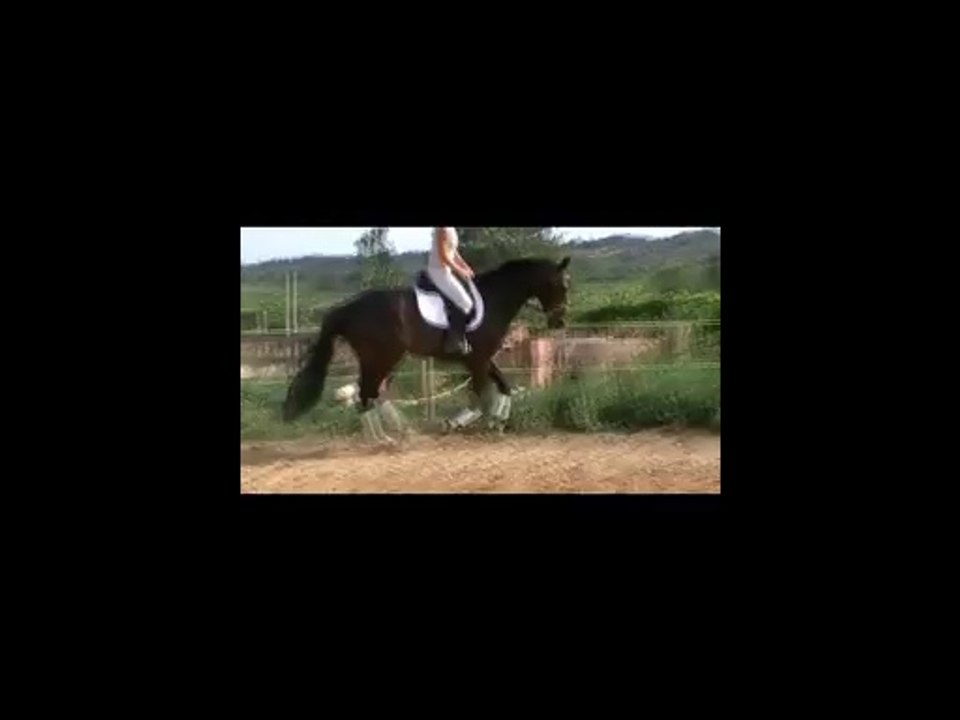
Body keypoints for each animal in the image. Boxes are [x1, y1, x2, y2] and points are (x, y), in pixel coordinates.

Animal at [281, 256, 572, 441]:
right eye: (560, 284)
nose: (559, 321)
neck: (492, 300)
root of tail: (347, 308)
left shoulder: (482, 358)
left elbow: (503, 386)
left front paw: (498, 421)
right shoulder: (477, 359)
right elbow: (480, 395)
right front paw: (469, 423)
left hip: (385, 359)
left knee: (374, 393)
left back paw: (399, 432)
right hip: (381, 357)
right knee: (366, 394)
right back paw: (382, 439)